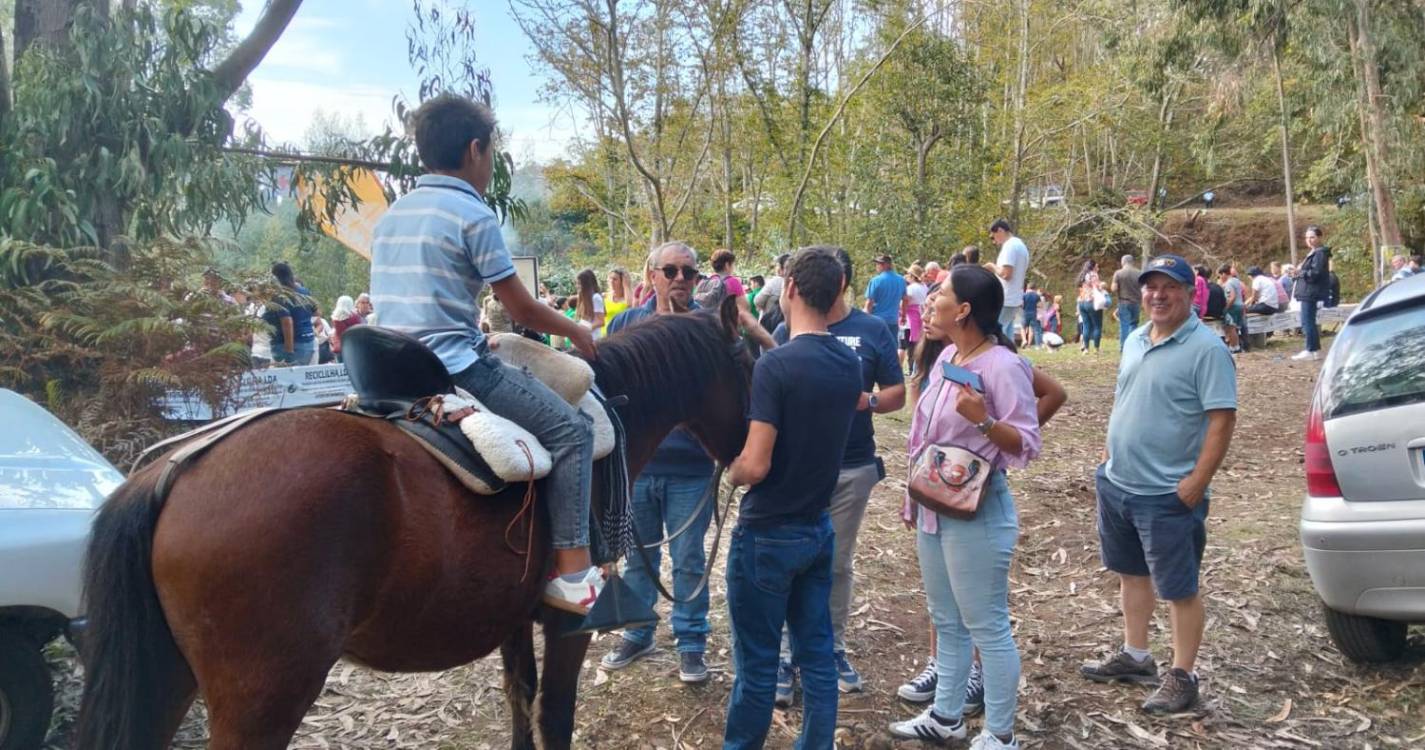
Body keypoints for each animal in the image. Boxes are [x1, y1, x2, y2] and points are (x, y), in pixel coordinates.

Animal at [75, 296, 758, 747]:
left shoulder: (511, 617)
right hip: (261, 701)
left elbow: (520, 700)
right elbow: (555, 715)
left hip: (167, 680)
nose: (754, 462)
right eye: (752, 367)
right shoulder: (570, 625)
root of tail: (169, 475)